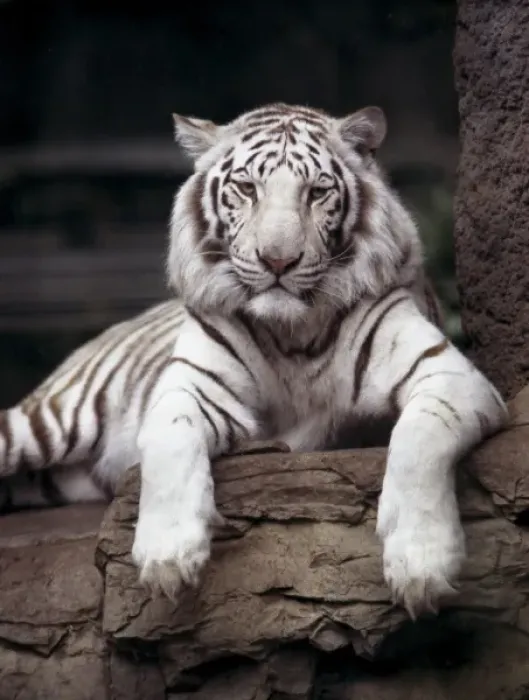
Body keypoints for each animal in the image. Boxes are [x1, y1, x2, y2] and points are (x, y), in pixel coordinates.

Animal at [0, 102, 508, 619]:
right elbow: (170, 440)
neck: (292, 336)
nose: (278, 261)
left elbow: (419, 439)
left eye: (317, 192)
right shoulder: (191, 387)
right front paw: (168, 557)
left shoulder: (449, 374)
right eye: (247, 188)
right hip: (54, 423)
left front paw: (422, 565)